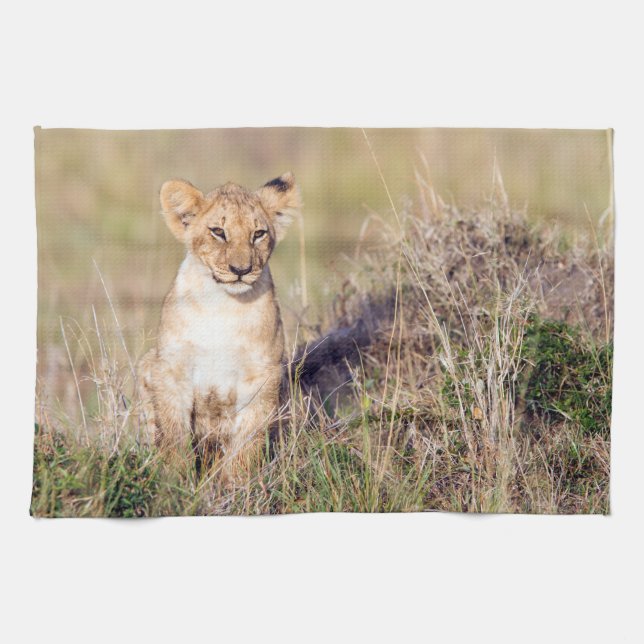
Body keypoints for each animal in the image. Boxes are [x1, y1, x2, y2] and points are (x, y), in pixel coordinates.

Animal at [137, 172, 301, 484]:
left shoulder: (262, 375)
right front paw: (175, 482)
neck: (223, 305)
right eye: (218, 232)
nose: (241, 270)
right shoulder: (171, 368)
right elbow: (173, 434)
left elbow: (247, 441)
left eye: (258, 234)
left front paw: (235, 486)